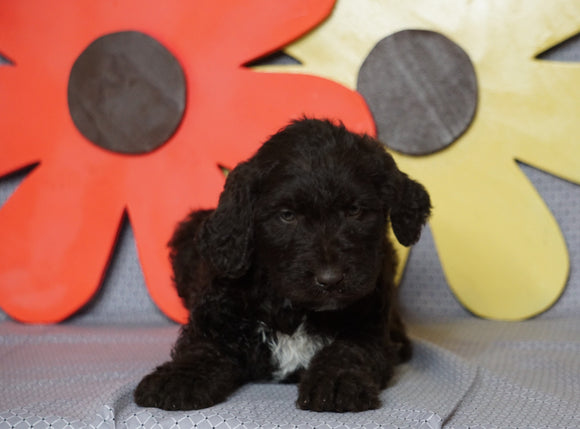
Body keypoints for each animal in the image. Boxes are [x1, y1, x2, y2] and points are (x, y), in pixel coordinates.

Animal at [134, 117, 428, 412]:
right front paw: (178, 378)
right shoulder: (216, 319)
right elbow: (202, 348)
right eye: (287, 215)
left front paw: (334, 383)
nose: (330, 279)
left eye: (354, 210)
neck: (293, 308)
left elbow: (349, 350)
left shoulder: (368, 325)